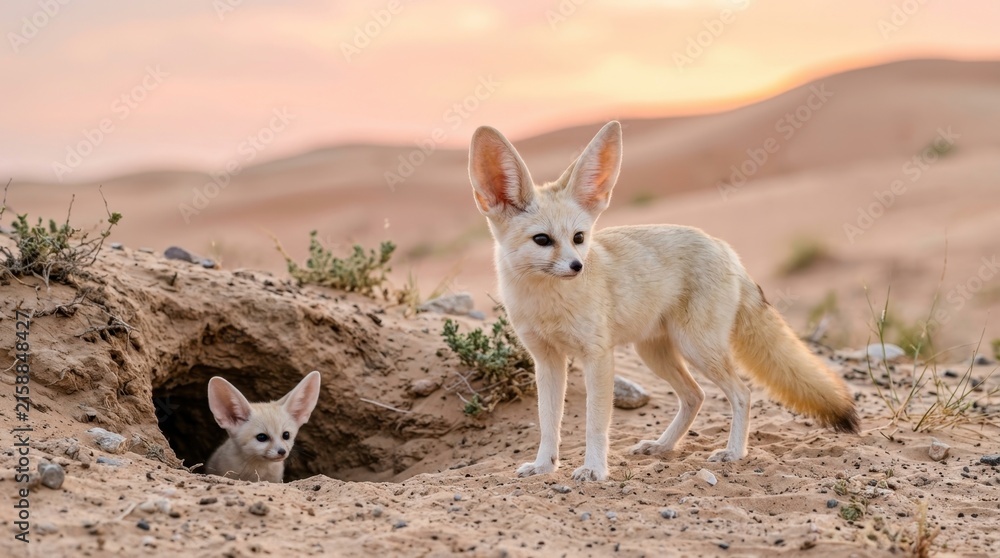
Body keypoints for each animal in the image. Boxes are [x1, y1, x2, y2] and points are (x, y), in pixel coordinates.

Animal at [467, 121, 859, 482]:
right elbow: (548, 422)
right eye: (542, 240)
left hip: (696, 348)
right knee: (695, 396)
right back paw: (662, 446)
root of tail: (723, 246)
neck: (547, 304)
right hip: (654, 352)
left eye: (579, 237)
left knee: (742, 393)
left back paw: (733, 453)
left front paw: (594, 470)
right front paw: (544, 466)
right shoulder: (546, 360)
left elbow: (596, 423)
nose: (578, 266)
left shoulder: (597, 356)